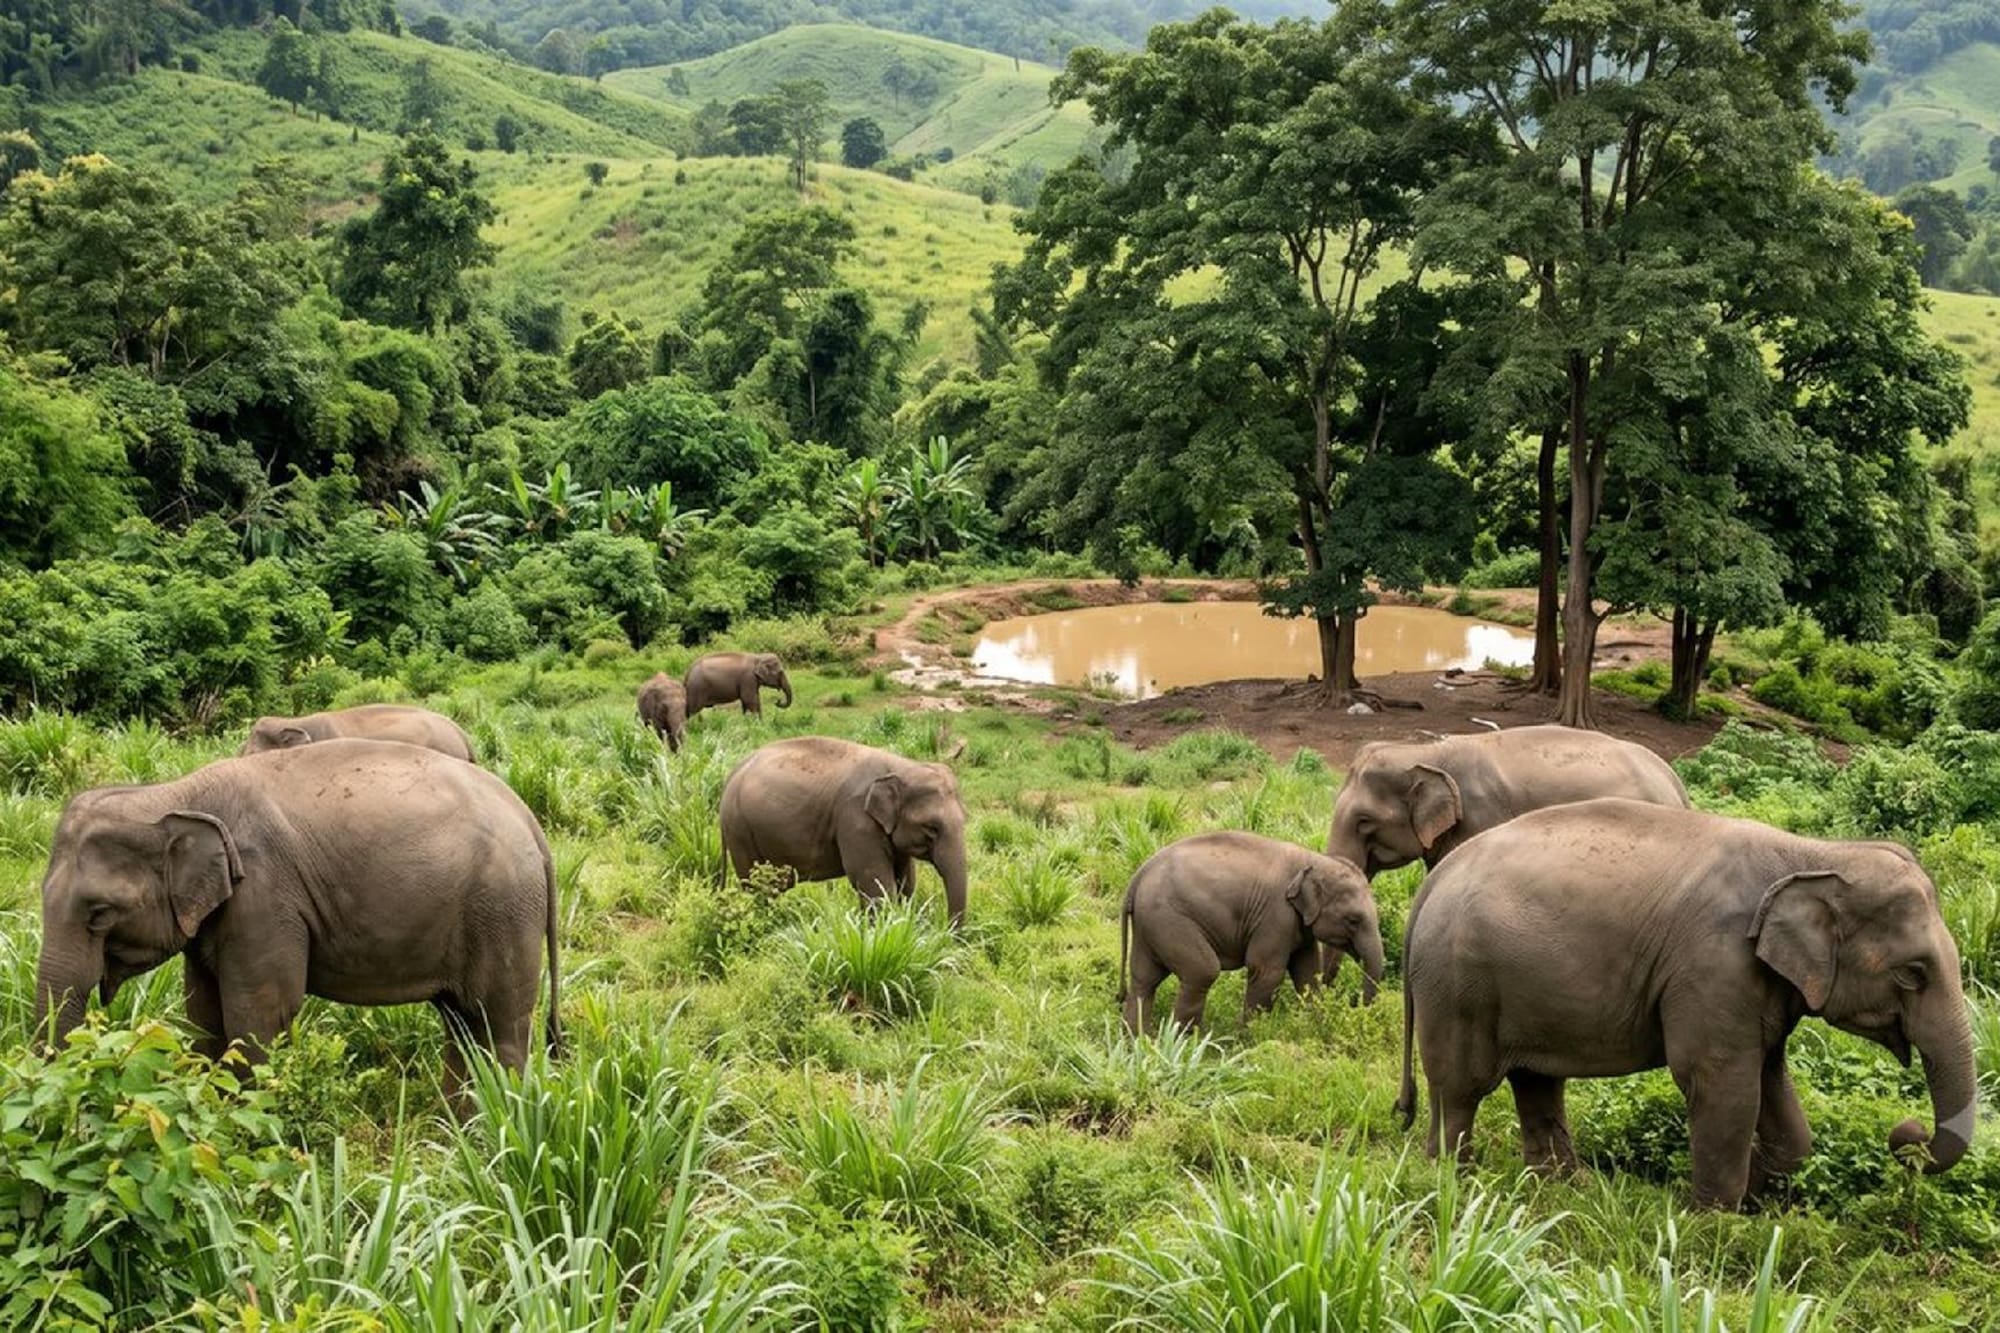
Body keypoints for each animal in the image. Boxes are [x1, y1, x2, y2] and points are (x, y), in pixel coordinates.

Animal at [35, 740, 561, 1105]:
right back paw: (452, 1127)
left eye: (99, 913)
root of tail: (530, 821)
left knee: (500, 1023)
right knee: (462, 1023)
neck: (172, 793)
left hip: (504, 912)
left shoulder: (265, 897)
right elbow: (203, 1011)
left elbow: (260, 1012)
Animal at [719, 737, 967, 927]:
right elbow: (873, 882)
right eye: (931, 828)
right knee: (756, 887)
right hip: (739, 830)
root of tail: (732, 774)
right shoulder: (856, 821)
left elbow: (905, 882)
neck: (901, 767)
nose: (947, 934)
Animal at [1119, 831, 1384, 1034]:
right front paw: (1249, 1038)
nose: (1358, 1008)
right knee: (1201, 972)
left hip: (1150, 924)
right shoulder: (1275, 916)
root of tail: (1139, 875)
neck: (1314, 860)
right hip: (1169, 919)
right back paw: (1185, 1042)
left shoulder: (1299, 925)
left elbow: (1307, 973)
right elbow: (1267, 971)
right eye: (1353, 920)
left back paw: (1139, 1040)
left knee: (1144, 979)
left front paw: (1315, 1024)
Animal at [1396, 798, 1974, 1209]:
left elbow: (1771, 1081)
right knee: (1462, 1087)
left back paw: (1561, 1190)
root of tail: (1434, 880)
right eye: (1913, 974)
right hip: (1458, 984)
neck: (1817, 853)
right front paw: (1713, 1223)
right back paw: (1457, 1185)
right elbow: (1721, 1084)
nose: (1906, 1134)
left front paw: (1756, 1190)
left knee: (1536, 1081)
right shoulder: (1714, 967)